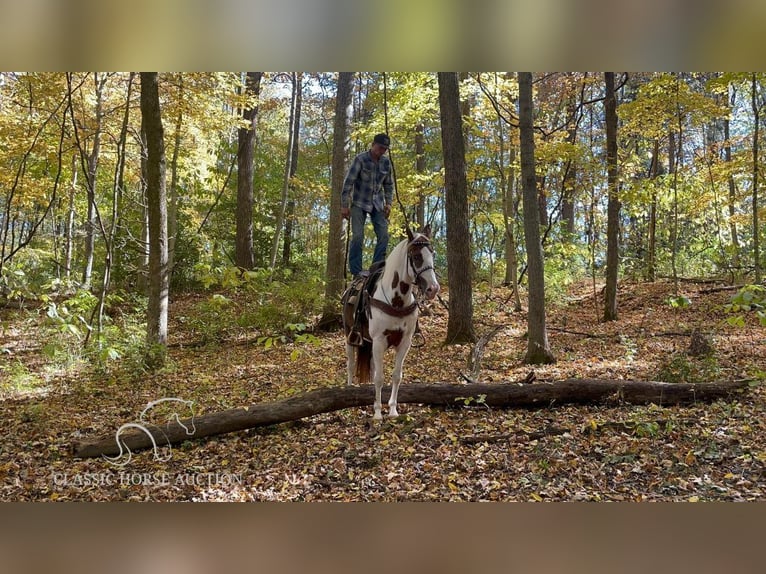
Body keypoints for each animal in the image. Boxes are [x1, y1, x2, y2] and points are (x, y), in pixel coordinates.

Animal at [344, 227, 440, 420]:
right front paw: (378, 414)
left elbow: (396, 376)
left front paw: (393, 410)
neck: (396, 301)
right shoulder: (379, 341)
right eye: (416, 256)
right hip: (350, 335)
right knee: (350, 365)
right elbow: (379, 378)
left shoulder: (404, 342)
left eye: (432, 254)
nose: (433, 289)